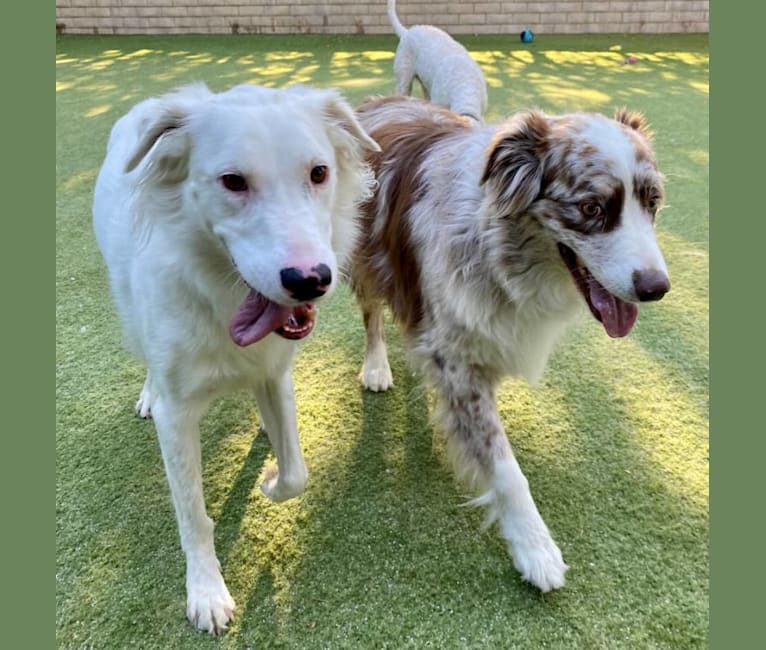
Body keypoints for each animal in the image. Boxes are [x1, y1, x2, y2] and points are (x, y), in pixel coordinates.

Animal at [91, 82, 380, 632]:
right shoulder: (178, 415)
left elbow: (297, 473)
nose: (310, 280)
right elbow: (193, 514)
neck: (221, 297)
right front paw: (206, 591)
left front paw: (270, 481)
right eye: (232, 182)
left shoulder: (274, 371)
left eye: (319, 173)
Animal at [352, 97, 672, 592]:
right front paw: (534, 547)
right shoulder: (458, 364)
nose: (657, 288)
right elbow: (506, 471)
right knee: (371, 313)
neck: (495, 248)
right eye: (592, 207)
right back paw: (376, 366)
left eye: (652, 202)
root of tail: (377, 101)